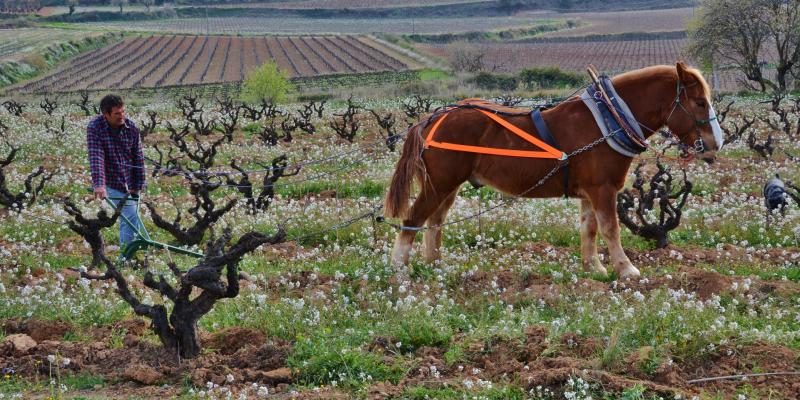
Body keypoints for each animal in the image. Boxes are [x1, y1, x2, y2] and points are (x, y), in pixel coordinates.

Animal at [386, 64, 724, 280]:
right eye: (699, 102)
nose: (714, 144)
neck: (610, 118)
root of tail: (431, 119)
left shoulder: (590, 191)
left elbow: (589, 229)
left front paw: (594, 268)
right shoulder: (603, 189)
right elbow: (610, 229)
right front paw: (626, 269)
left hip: (447, 186)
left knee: (435, 222)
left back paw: (436, 266)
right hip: (440, 183)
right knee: (413, 220)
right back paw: (400, 271)